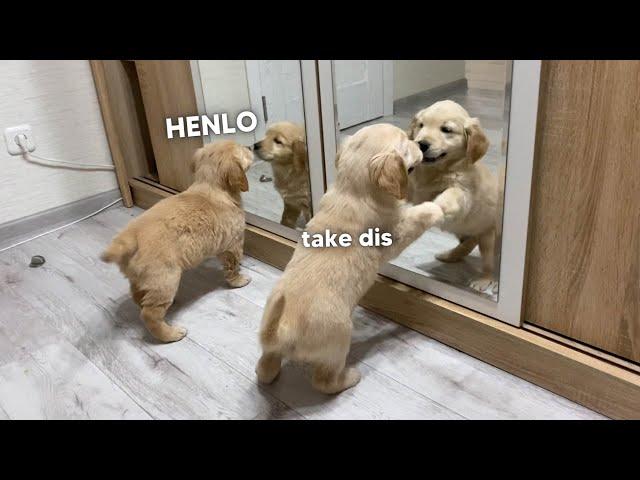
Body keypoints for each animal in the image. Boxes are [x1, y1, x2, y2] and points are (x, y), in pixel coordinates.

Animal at [100, 141, 252, 344]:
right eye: (243, 150)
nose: (252, 148)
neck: (211, 186)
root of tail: (129, 238)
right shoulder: (232, 245)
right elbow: (233, 267)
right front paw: (239, 281)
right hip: (165, 279)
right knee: (149, 315)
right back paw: (171, 334)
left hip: (142, 279)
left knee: (139, 297)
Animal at [252, 124, 442, 394]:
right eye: (406, 142)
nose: (420, 145)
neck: (352, 190)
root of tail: (283, 330)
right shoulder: (394, 235)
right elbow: (416, 217)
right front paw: (437, 206)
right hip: (339, 340)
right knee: (323, 381)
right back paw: (350, 377)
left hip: (271, 345)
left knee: (265, 368)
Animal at [408, 99, 498, 290]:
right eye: (421, 125)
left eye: (446, 129)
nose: (421, 144)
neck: (435, 170)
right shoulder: (413, 188)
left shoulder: (464, 191)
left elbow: (450, 194)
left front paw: (435, 206)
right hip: (468, 231)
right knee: (468, 243)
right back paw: (449, 255)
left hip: (488, 237)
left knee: (489, 263)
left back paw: (485, 280)